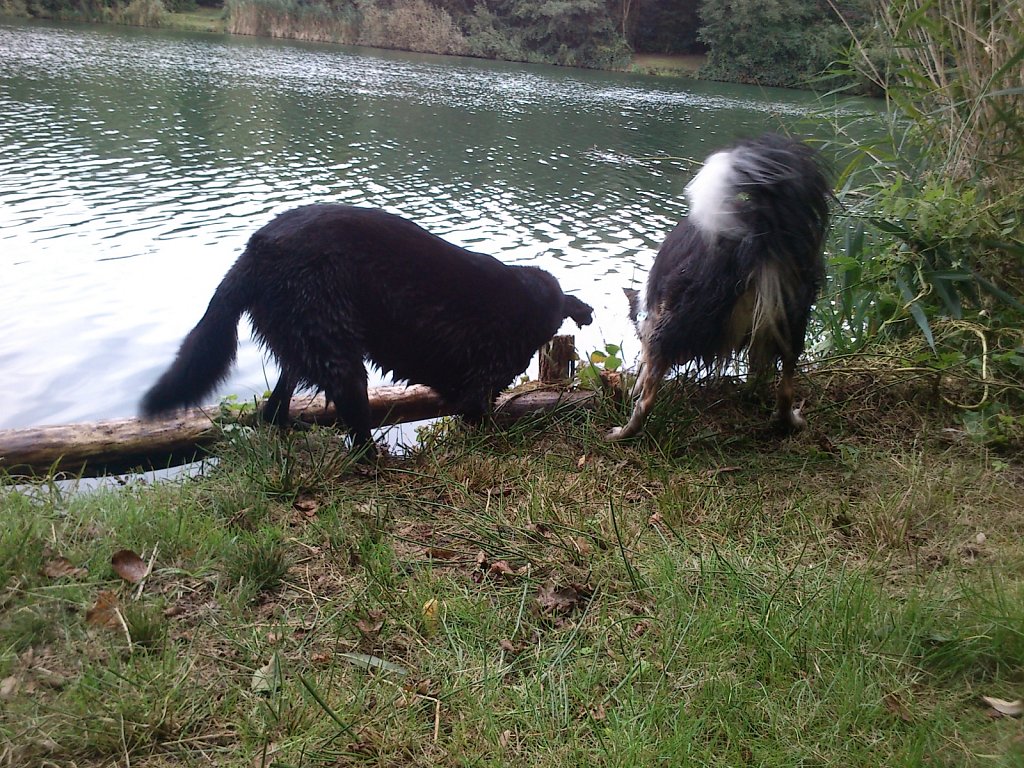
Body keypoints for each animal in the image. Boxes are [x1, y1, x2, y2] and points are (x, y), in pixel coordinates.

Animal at [140, 205, 598, 456]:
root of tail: (254, 254)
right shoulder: (478, 390)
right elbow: (484, 415)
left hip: (305, 344)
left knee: (272, 411)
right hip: (340, 357)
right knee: (356, 437)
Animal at [606, 135, 831, 442]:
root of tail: (754, 236)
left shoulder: (653, 330)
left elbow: (643, 371)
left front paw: (632, 389)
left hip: (676, 325)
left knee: (648, 399)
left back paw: (623, 432)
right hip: (790, 318)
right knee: (786, 386)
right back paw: (789, 422)